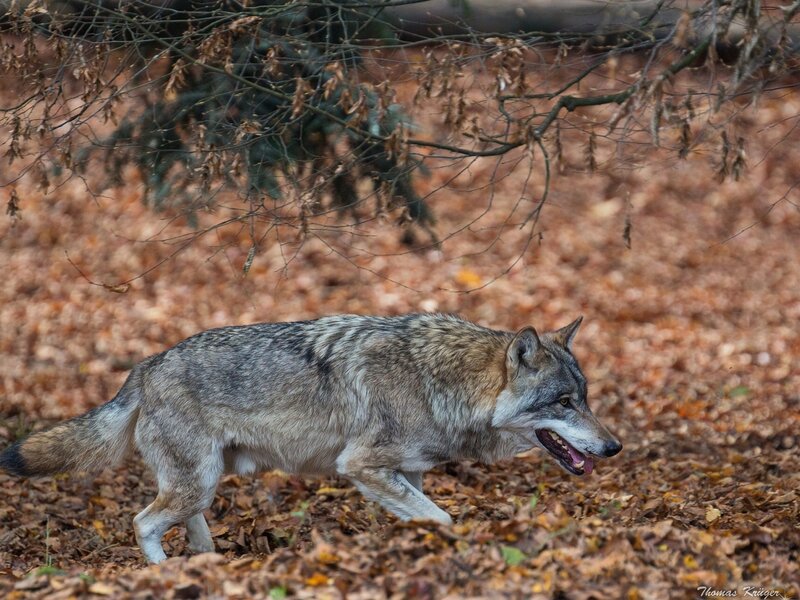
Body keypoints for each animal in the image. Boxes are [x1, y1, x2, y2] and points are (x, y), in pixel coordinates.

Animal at [0, 313, 621, 564]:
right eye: (564, 403)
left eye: (585, 398)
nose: (614, 447)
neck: (439, 381)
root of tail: (145, 366)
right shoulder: (361, 466)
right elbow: (443, 518)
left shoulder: (405, 472)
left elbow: (421, 515)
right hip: (194, 484)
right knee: (142, 522)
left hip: (202, 483)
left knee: (183, 524)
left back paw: (206, 563)